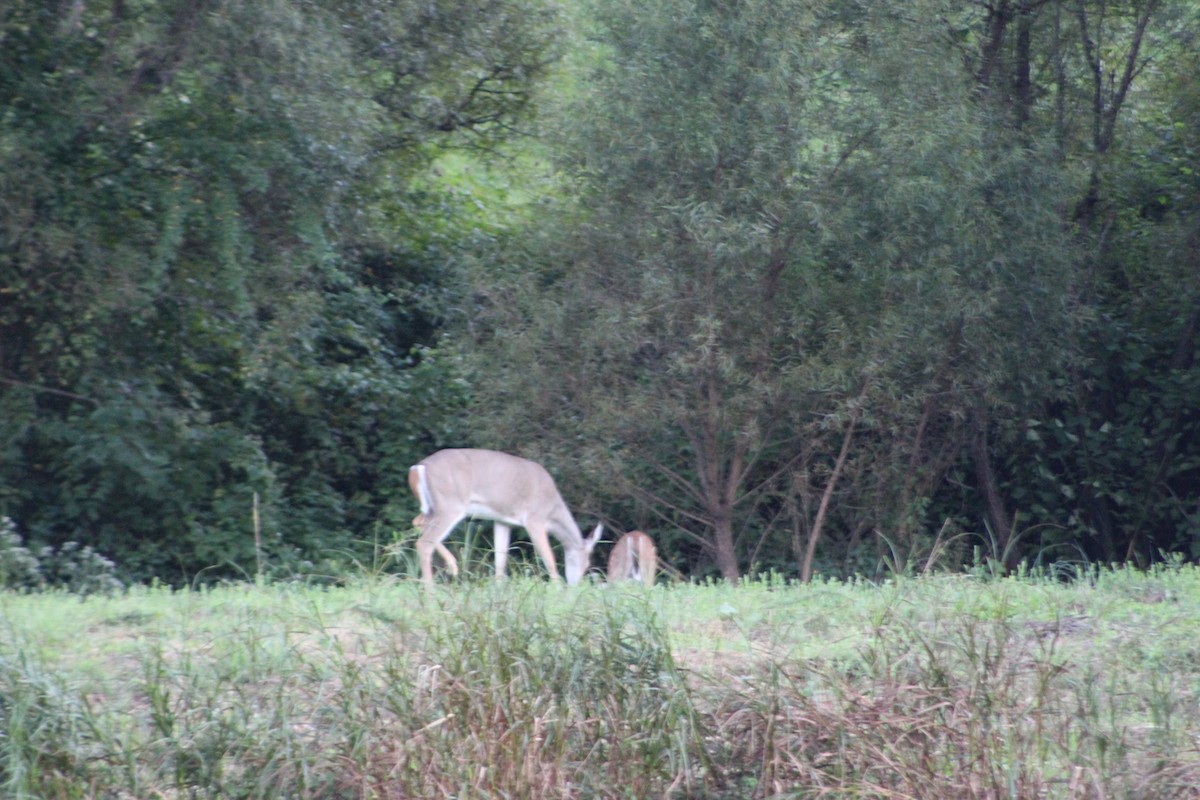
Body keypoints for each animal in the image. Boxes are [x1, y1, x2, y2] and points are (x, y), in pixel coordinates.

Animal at [408, 448, 602, 587]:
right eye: (586, 564)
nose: (575, 586)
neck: (552, 510)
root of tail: (418, 468)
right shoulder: (535, 519)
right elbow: (549, 558)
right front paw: (556, 589)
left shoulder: (502, 520)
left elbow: (500, 559)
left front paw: (499, 590)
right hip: (450, 504)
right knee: (424, 543)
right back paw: (431, 592)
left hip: (433, 508)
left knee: (417, 522)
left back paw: (452, 566)